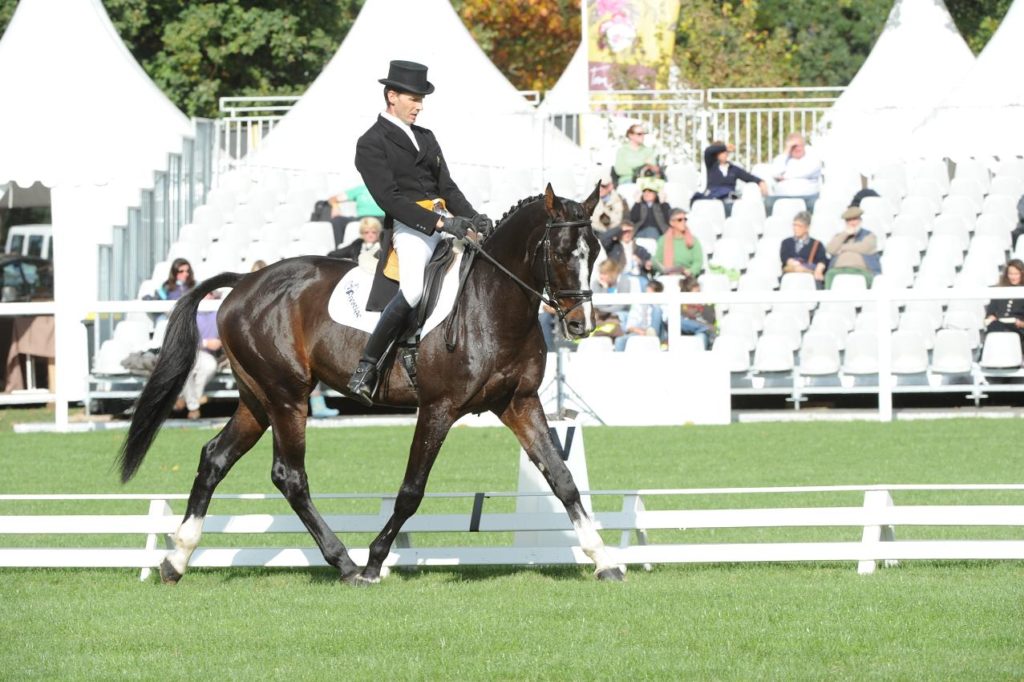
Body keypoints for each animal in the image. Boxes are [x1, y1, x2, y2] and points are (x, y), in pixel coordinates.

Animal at [117, 183, 626, 581]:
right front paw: (375, 562)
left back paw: (176, 559)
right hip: (287, 398)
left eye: (596, 251)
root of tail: (245, 280)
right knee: (290, 476)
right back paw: (344, 563)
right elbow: (411, 491)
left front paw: (603, 559)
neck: (492, 303)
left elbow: (562, 478)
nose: (581, 324)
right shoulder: (438, 409)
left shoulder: (519, 402)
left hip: (258, 400)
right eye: (560, 253)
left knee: (214, 459)